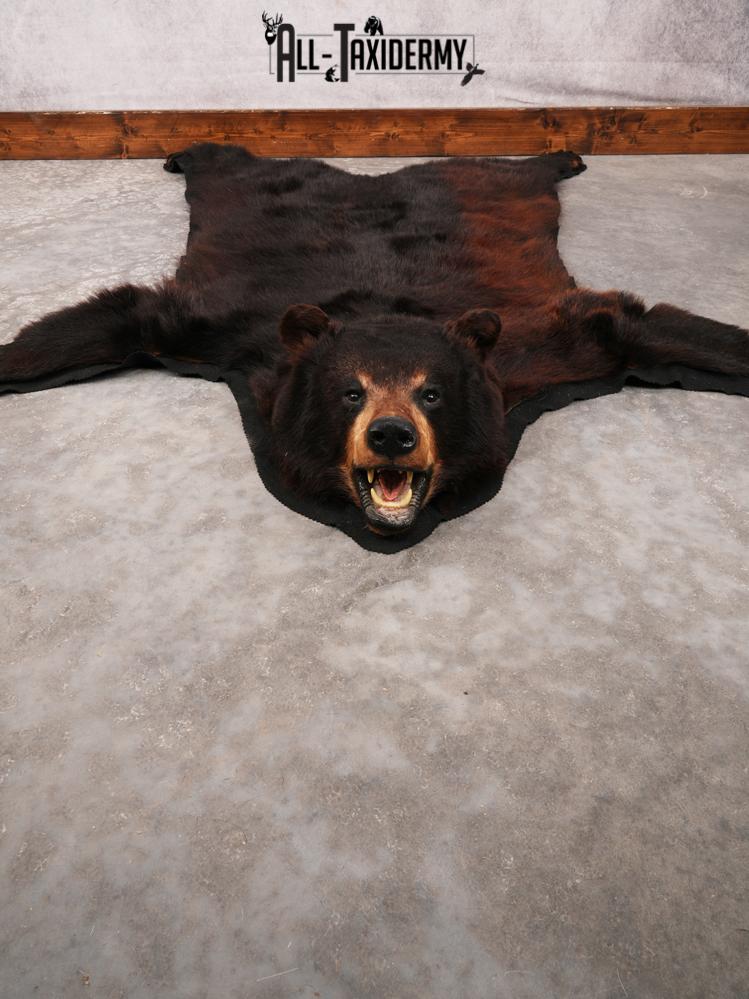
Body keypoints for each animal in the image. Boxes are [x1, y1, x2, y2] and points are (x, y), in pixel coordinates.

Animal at [1, 143, 748, 550]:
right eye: (348, 391)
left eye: (433, 392)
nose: (392, 434)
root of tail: (374, 176)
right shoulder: (229, 332)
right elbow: (131, 313)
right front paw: (12, 360)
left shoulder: (536, 347)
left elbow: (628, 323)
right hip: (249, 191)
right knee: (232, 163)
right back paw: (184, 149)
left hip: (491, 186)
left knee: (513, 168)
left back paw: (561, 152)